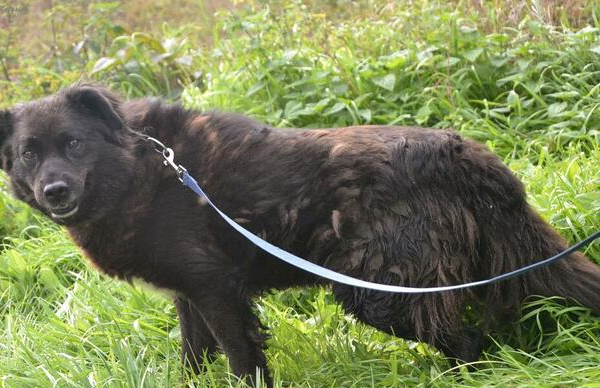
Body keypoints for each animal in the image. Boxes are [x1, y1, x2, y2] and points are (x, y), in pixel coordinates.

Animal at [1, 83, 600, 384]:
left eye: (74, 144)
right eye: (29, 154)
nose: (54, 191)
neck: (137, 169)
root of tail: (465, 152)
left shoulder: (217, 291)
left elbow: (242, 361)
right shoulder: (189, 293)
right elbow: (194, 358)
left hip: (380, 293)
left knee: (471, 342)